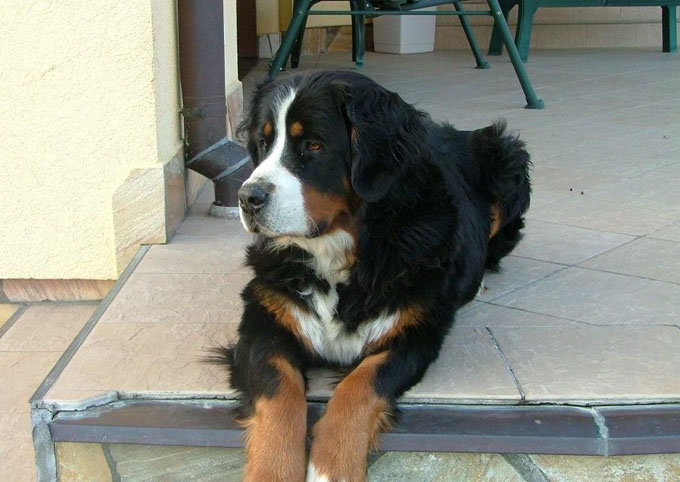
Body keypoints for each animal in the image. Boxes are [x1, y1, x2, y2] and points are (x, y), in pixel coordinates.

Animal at [212, 70, 531, 482]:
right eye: (263, 144)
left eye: (313, 145)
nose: (248, 198)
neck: (342, 251)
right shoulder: (265, 318)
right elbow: (278, 388)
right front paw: (274, 471)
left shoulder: (413, 330)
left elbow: (361, 384)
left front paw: (331, 467)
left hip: (507, 157)